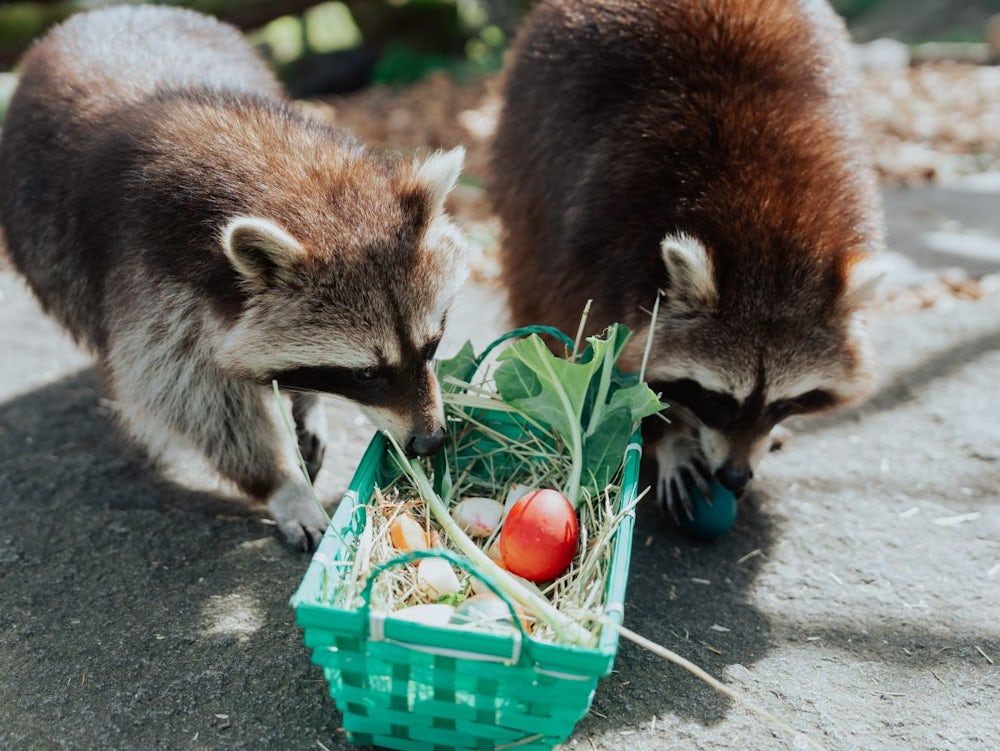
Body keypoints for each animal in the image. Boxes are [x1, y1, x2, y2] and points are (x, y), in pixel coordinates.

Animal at [0, 4, 468, 548]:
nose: (430, 442)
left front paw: (306, 399)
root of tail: (111, 12)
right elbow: (186, 396)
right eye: (367, 374)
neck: (289, 181)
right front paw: (282, 483)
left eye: (432, 346)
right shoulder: (149, 278)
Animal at [488, 0, 888, 516]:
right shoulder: (599, 243)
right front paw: (671, 439)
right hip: (526, 155)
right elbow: (609, 367)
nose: (734, 476)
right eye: (715, 399)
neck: (770, 233)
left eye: (781, 403)